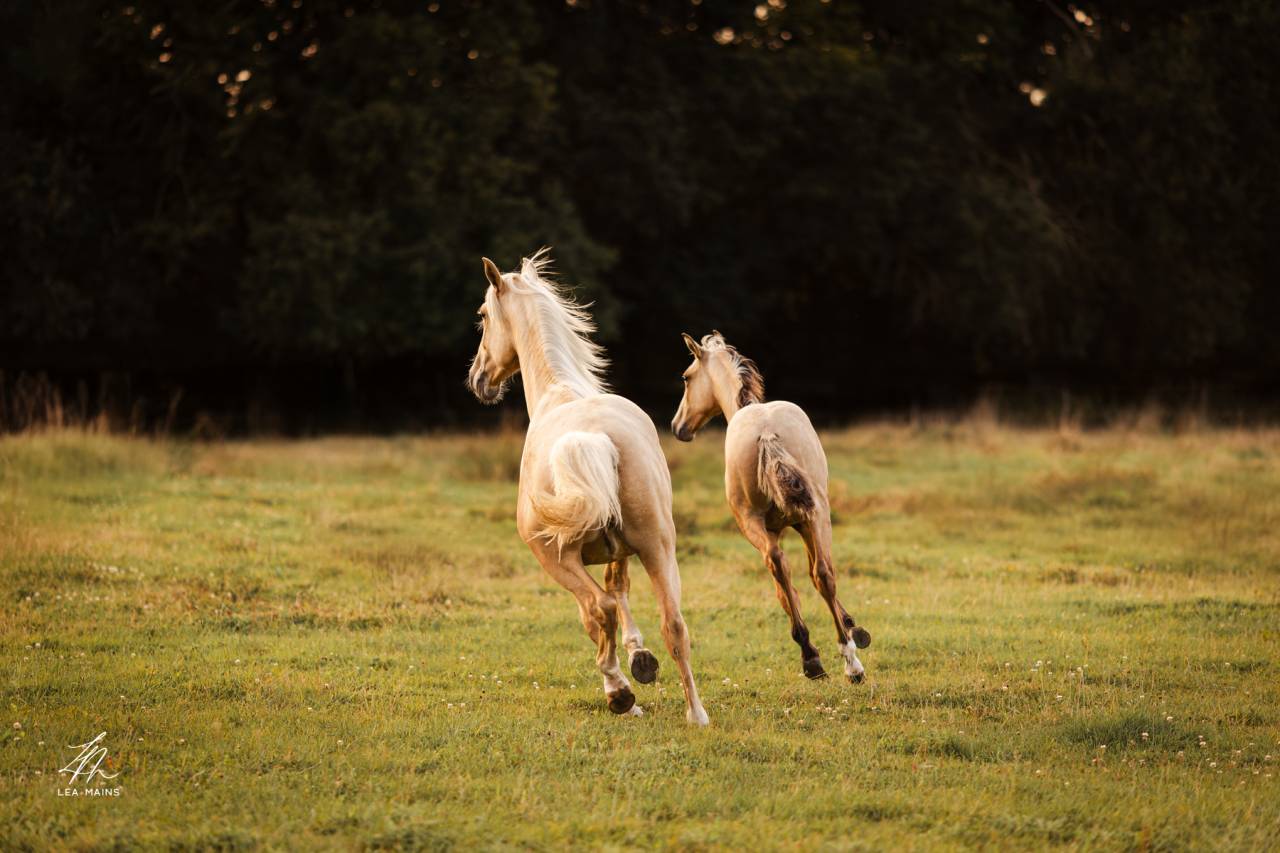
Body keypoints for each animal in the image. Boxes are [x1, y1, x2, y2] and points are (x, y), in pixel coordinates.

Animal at [466, 251, 709, 725]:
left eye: (483, 315)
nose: (479, 379)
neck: (558, 392)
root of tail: (592, 438)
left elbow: (596, 612)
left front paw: (626, 675)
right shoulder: (624, 551)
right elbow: (622, 588)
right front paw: (641, 658)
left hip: (554, 558)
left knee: (599, 609)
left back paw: (619, 693)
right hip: (659, 547)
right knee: (674, 623)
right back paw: (696, 714)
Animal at [671, 332, 871, 683]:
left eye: (686, 377)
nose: (677, 426)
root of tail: (765, 431)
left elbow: (795, 584)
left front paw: (849, 628)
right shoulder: (802, 523)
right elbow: (805, 580)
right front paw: (850, 629)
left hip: (767, 522)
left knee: (788, 567)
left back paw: (820, 657)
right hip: (813, 516)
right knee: (816, 573)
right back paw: (840, 662)